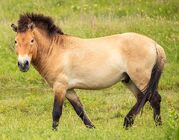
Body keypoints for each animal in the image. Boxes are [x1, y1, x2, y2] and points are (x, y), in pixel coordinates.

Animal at [10, 13, 166, 130]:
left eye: (31, 40)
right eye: (16, 41)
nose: (23, 64)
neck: (55, 50)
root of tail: (155, 44)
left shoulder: (60, 87)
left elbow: (56, 112)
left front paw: (54, 132)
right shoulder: (69, 90)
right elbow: (80, 111)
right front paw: (93, 128)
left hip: (141, 78)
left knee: (154, 98)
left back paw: (157, 125)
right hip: (129, 80)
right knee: (142, 98)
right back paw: (128, 123)